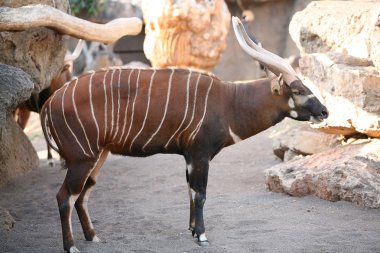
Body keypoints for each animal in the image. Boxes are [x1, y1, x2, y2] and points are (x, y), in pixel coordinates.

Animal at [40, 16, 326, 252]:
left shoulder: (189, 156)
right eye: (297, 91)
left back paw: (93, 236)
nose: (324, 111)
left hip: (98, 155)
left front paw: (191, 231)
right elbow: (200, 193)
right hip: (82, 158)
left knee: (83, 193)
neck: (228, 101)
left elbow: (189, 190)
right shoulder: (200, 154)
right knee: (64, 196)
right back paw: (71, 246)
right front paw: (202, 236)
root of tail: (50, 102)